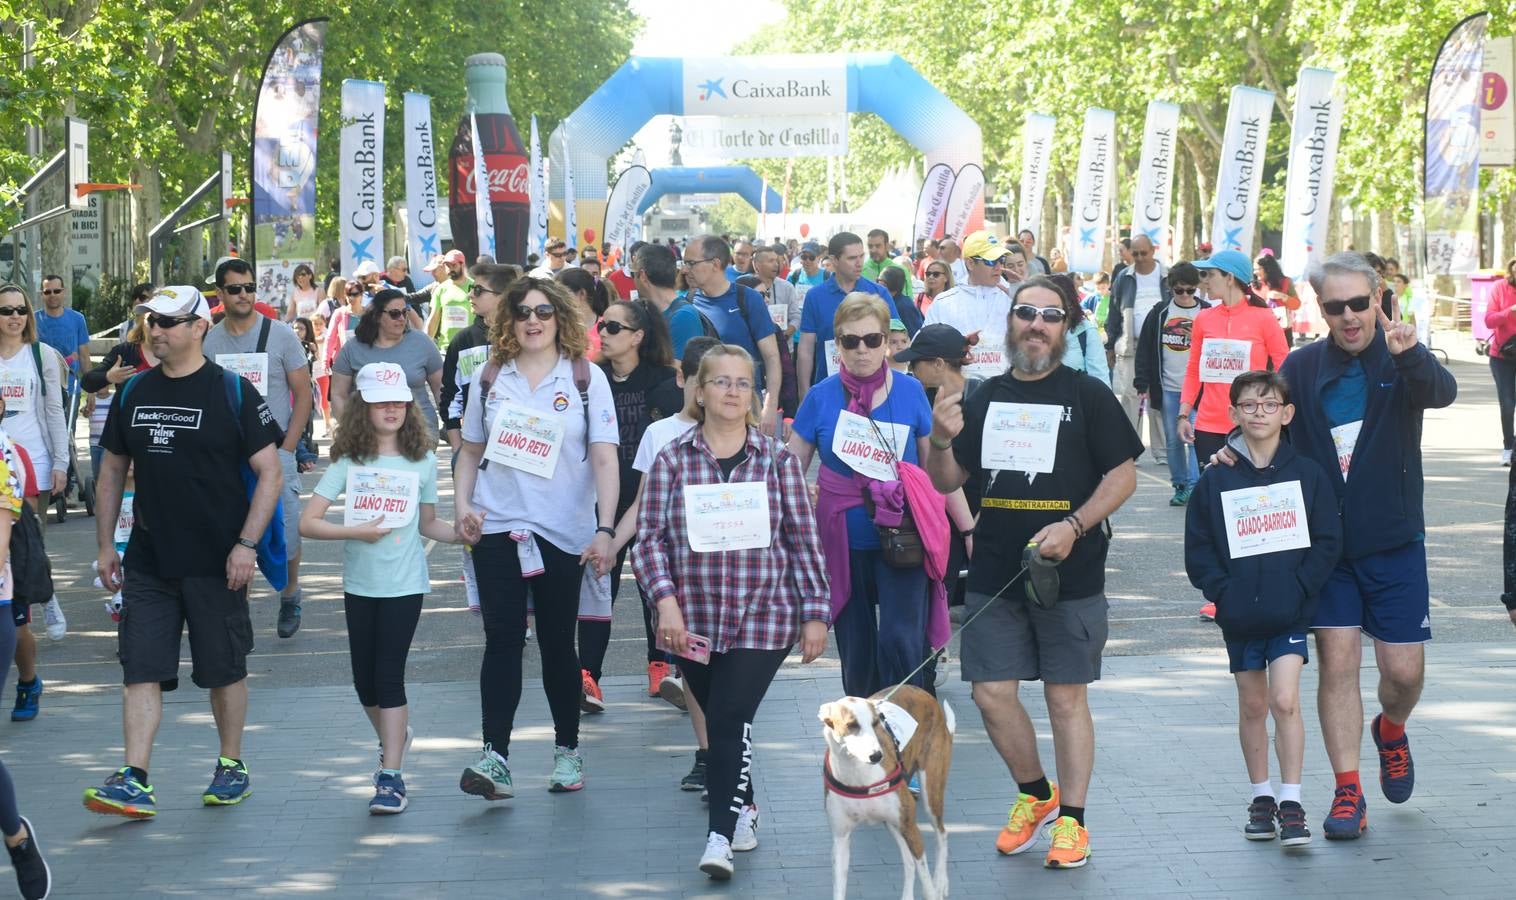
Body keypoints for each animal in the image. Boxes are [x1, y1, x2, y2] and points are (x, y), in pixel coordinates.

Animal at [824, 681, 952, 890]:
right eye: (851, 725)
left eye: (875, 723)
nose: (877, 756)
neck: (858, 775)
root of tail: (925, 693)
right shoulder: (840, 839)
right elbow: (838, 890)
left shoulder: (911, 828)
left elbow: (927, 888)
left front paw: (934, 887)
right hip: (894, 823)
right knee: (908, 862)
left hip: (930, 794)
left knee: (941, 834)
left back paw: (941, 882)